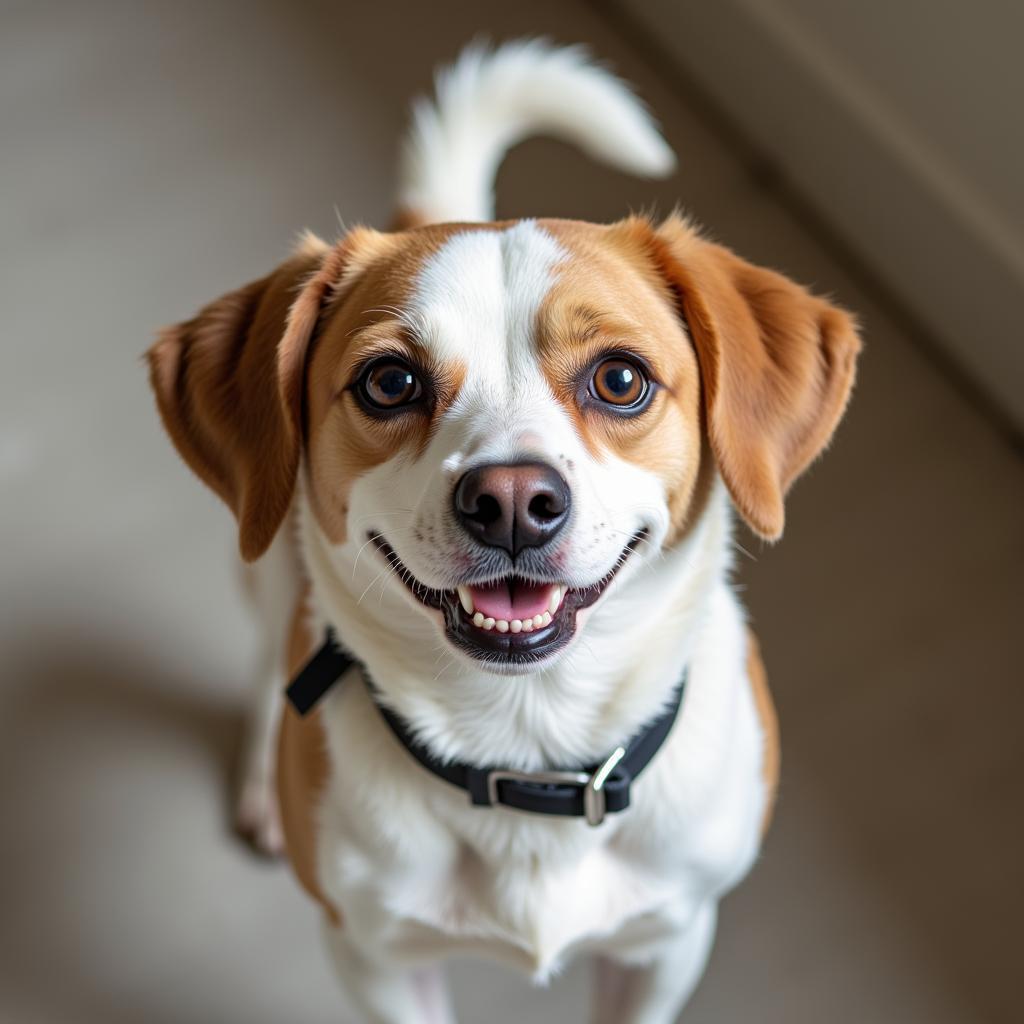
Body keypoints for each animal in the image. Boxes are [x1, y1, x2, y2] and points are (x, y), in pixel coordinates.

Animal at [148, 39, 860, 1024]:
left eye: (620, 379)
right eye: (389, 383)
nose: (514, 500)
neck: (529, 742)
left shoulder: (666, 944)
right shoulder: (375, 959)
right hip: (264, 563)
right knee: (264, 661)